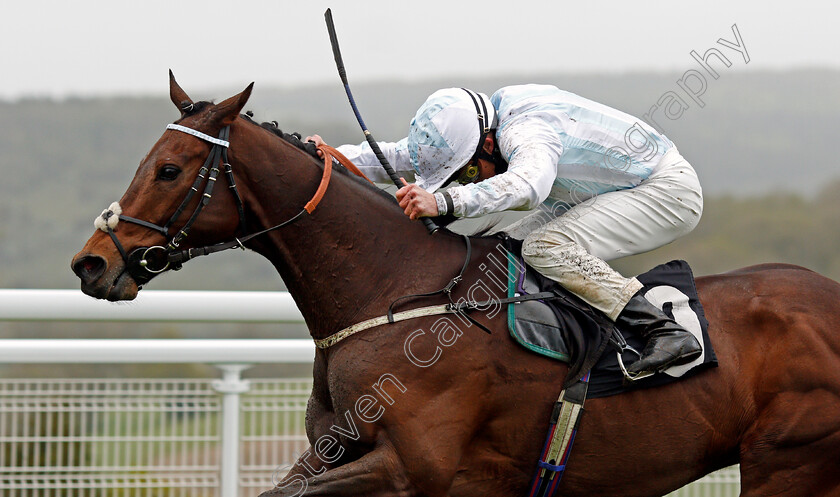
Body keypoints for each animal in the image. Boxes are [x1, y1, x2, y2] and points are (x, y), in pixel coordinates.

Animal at [72, 74, 840, 496]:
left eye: (169, 169)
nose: (92, 263)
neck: (392, 291)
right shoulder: (337, 450)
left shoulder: (414, 471)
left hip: (787, 461)